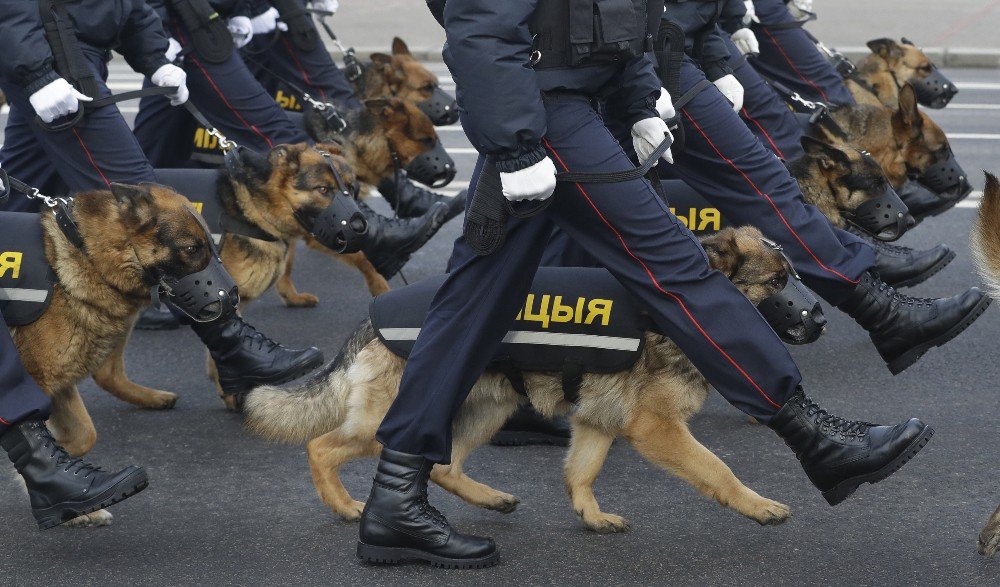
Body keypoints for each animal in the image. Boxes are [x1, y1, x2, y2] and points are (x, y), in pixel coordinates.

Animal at [9, 186, 219, 524]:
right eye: (191, 248)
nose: (234, 297)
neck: (86, 253)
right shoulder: (36, 378)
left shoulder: (59, 383)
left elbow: (85, 435)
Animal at [246, 227, 800, 536]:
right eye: (777, 282)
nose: (815, 320)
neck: (676, 308)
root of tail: (371, 316)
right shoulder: (656, 428)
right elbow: (717, 469)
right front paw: (758, 506)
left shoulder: (598, 424)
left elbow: (581, 473)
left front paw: (591, 517)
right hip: (387, 422)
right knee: (321, 446)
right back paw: (344, 507)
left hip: (487, 410)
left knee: (445, 466)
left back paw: (490, 498)